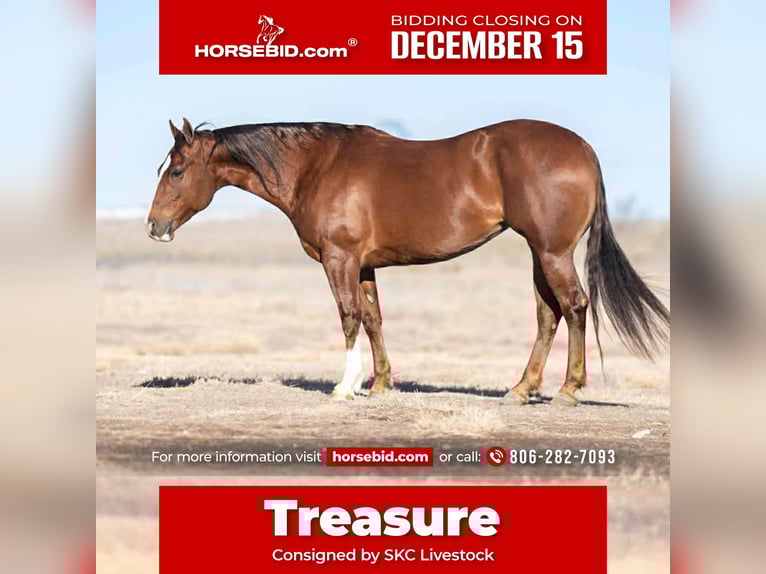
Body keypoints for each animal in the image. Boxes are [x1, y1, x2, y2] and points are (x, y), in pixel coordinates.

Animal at [147, 118, 669, 405]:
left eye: (177, 171)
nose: (154, 226)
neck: (318, 166)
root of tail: (582, 149)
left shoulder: (339, 259)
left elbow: (348, 317)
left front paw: (346, 386)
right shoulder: (364, 265)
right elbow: (373, 319)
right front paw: (380, 384)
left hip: (552, 251)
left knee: (575, 306)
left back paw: (567, 390)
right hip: (540, 254)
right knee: (549, 314)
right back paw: (521, 389)